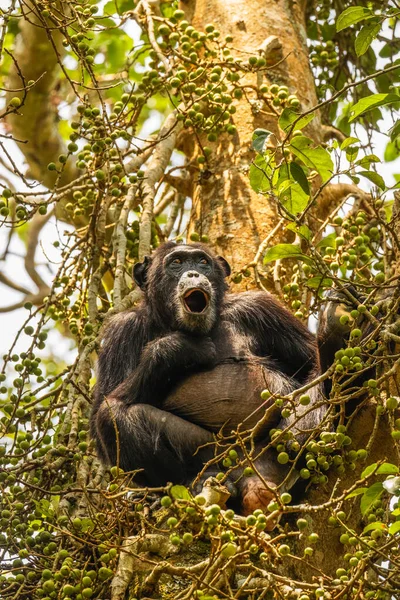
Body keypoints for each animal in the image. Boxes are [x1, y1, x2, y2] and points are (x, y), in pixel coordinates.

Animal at [90, 241, 328, 512]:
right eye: (177, 262)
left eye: (202, 262)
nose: (194, 273)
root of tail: (256, 480)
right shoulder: (121, 332)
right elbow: (101, 414)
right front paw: (174, 348)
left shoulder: (260, 308)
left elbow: (313, 361)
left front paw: (299, 428)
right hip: (213, 457)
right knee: (113, 414)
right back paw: (192, 483)